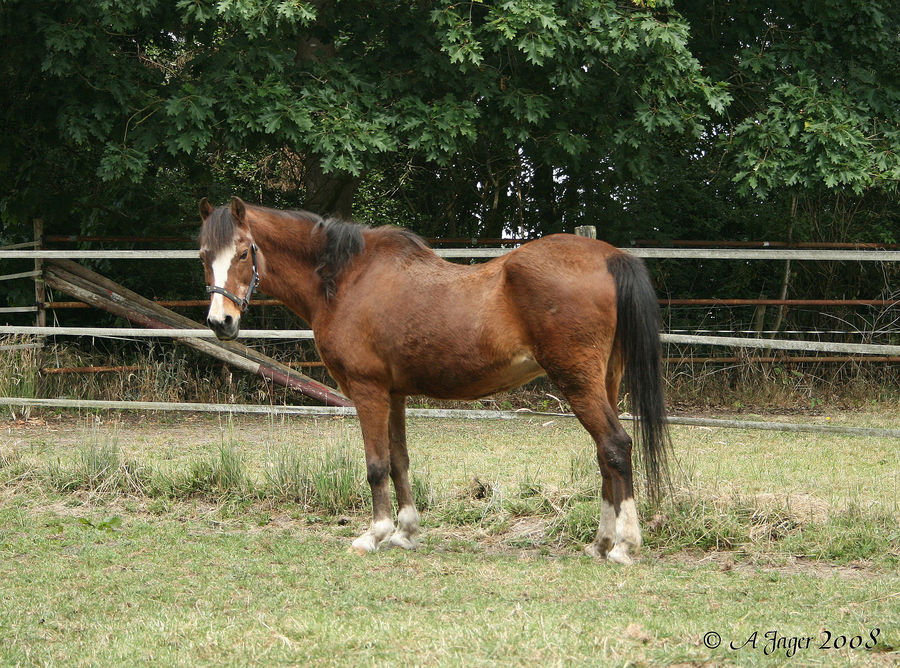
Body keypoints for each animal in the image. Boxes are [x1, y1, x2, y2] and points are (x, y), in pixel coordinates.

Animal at [199, 197, 668, 564]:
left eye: (243, 253)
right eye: (204, 255)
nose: (221, 322)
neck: (348, 280)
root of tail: (608, 256)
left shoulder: (368, 391)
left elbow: (376, 465)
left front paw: (374, 534)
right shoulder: (394, 394)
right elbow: (399, 461)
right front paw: (406, 532)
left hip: (578, 383)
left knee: (615, 446)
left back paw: (624, 546)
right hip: (602, 382)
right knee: (605, 456)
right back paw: (601, 543)